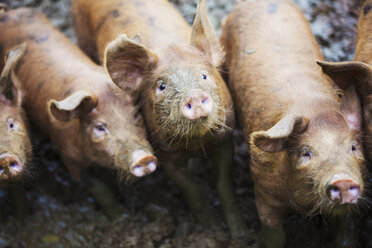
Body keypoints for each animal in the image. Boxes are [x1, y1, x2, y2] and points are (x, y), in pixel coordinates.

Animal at [0, 7, 158, 220]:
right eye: (100, 127)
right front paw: (119, 217)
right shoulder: (68, 155)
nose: (144, 158)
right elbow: (98, 187)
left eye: (136, 117)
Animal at [72, 0, 247, 237]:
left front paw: (239, 234)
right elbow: (190, 190)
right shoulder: (165, 156)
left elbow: (224, 185)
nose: (194, 95)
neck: (195, 144)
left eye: (204, 75)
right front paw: (207, 227)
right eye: (161, 86)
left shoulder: (225, 139)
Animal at [221, 0, 366, 247]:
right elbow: (276, 236)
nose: (343, 180)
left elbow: (346, 235)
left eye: (354, 148)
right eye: (306, 152)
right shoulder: (263, 191)